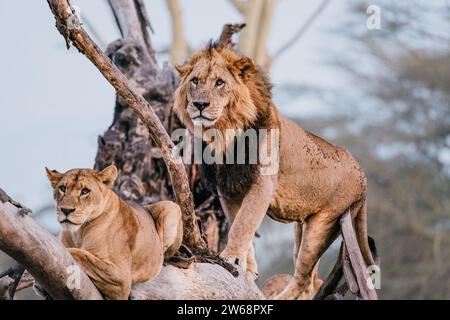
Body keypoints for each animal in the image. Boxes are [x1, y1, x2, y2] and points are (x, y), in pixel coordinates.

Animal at [47, 165, 183, 300]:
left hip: (171, 207)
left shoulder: (121, 276)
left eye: (85, 191)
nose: (65, 210)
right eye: (62, 188)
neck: (78, 233)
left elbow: (80, 254)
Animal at [174, 44, 374, 300]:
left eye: (219, 82)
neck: (224, 133)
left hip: (323, 225)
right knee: (312, 281)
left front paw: (230, 257)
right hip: (302, 228)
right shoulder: (228, 189)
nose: (200, 104)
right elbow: (239, 222)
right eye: (195, 81)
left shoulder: (262, 184)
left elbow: (243, 224)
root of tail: (363, 177)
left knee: (303, 279)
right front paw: (247, 267)